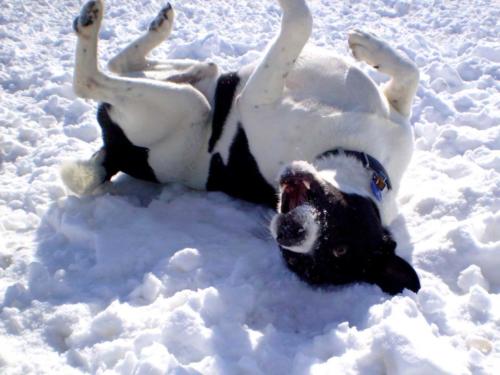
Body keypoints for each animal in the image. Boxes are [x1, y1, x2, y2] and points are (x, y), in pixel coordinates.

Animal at [62, 0, 422, 296]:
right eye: (342, 244)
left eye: (335, 252)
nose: (289, 232)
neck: (358, 151)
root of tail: (113, 153)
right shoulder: (396, 115)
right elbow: (409, 73)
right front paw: (368, 45)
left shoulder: (254, 99)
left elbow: (300, 20)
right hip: (203, 81)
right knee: (138, 65)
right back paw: (155, 27)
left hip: (185, 106)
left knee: (89, 81)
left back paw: (92, 24)